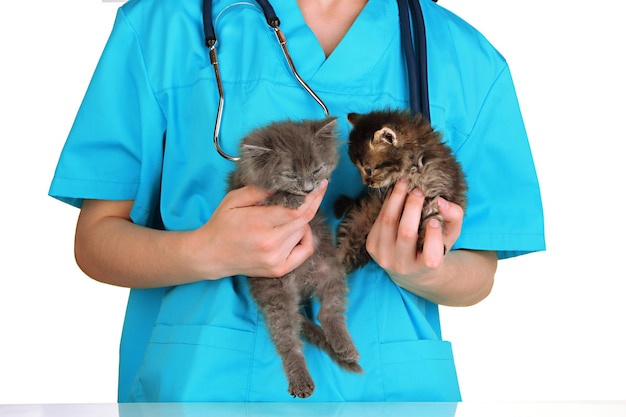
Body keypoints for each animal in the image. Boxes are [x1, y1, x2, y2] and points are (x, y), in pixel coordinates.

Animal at [227, 116, 360, 396]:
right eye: (290, 175)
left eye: (317, 170)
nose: (308, 189)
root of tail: (301, 285)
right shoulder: (244, 196)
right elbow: (274, 198)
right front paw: (288, 197)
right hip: (276, 293)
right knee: (287, 340)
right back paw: (300, 379)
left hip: (329, 266)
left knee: (328, 313)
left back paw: (345, 345)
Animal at [334, 109, 466, 272]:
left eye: (368, 170)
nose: (366, 183)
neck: (411, 168)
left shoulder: (438, 190)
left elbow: (433, 218)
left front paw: (426, 239)